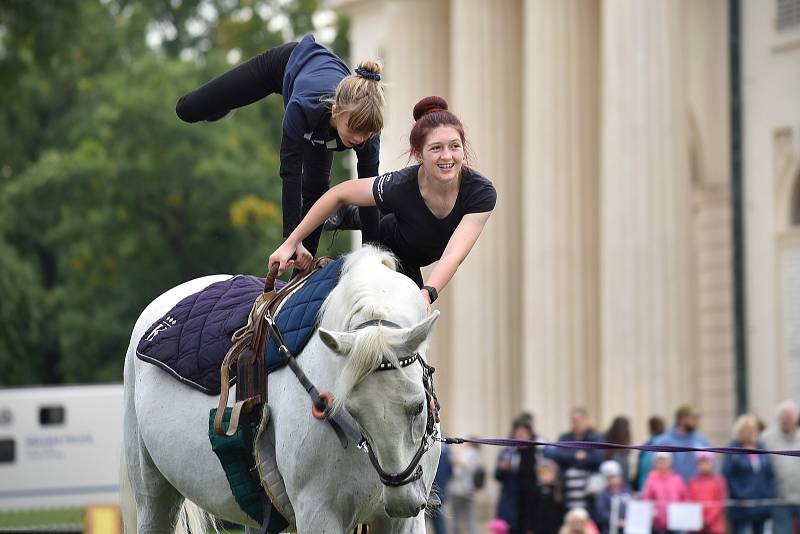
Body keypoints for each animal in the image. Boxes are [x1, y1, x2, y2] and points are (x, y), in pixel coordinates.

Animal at [122, 246, 440, 532]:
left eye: (418, 407)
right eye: (353, 410)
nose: (401, 499)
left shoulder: (401, 521)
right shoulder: (318, 513)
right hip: (152, 495)